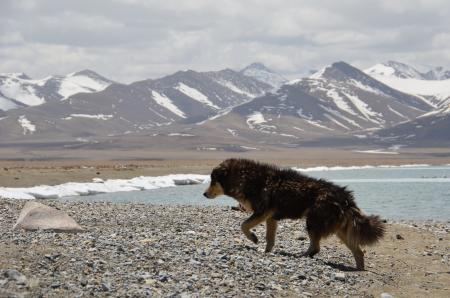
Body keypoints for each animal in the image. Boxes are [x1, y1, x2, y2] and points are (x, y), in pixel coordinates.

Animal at [202, 158, 384, 270]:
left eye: (213, 181)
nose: (203, 194)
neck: (247, 178)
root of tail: (346, 197)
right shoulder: (270, 217)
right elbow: (270, 239)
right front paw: (266, 252)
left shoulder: (262, 212)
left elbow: (243, 225)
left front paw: (253, 239)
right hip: (339, 230)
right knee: (358, 251)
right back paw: (359, 270)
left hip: (313, 222)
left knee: (316, 247)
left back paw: (301, 256)